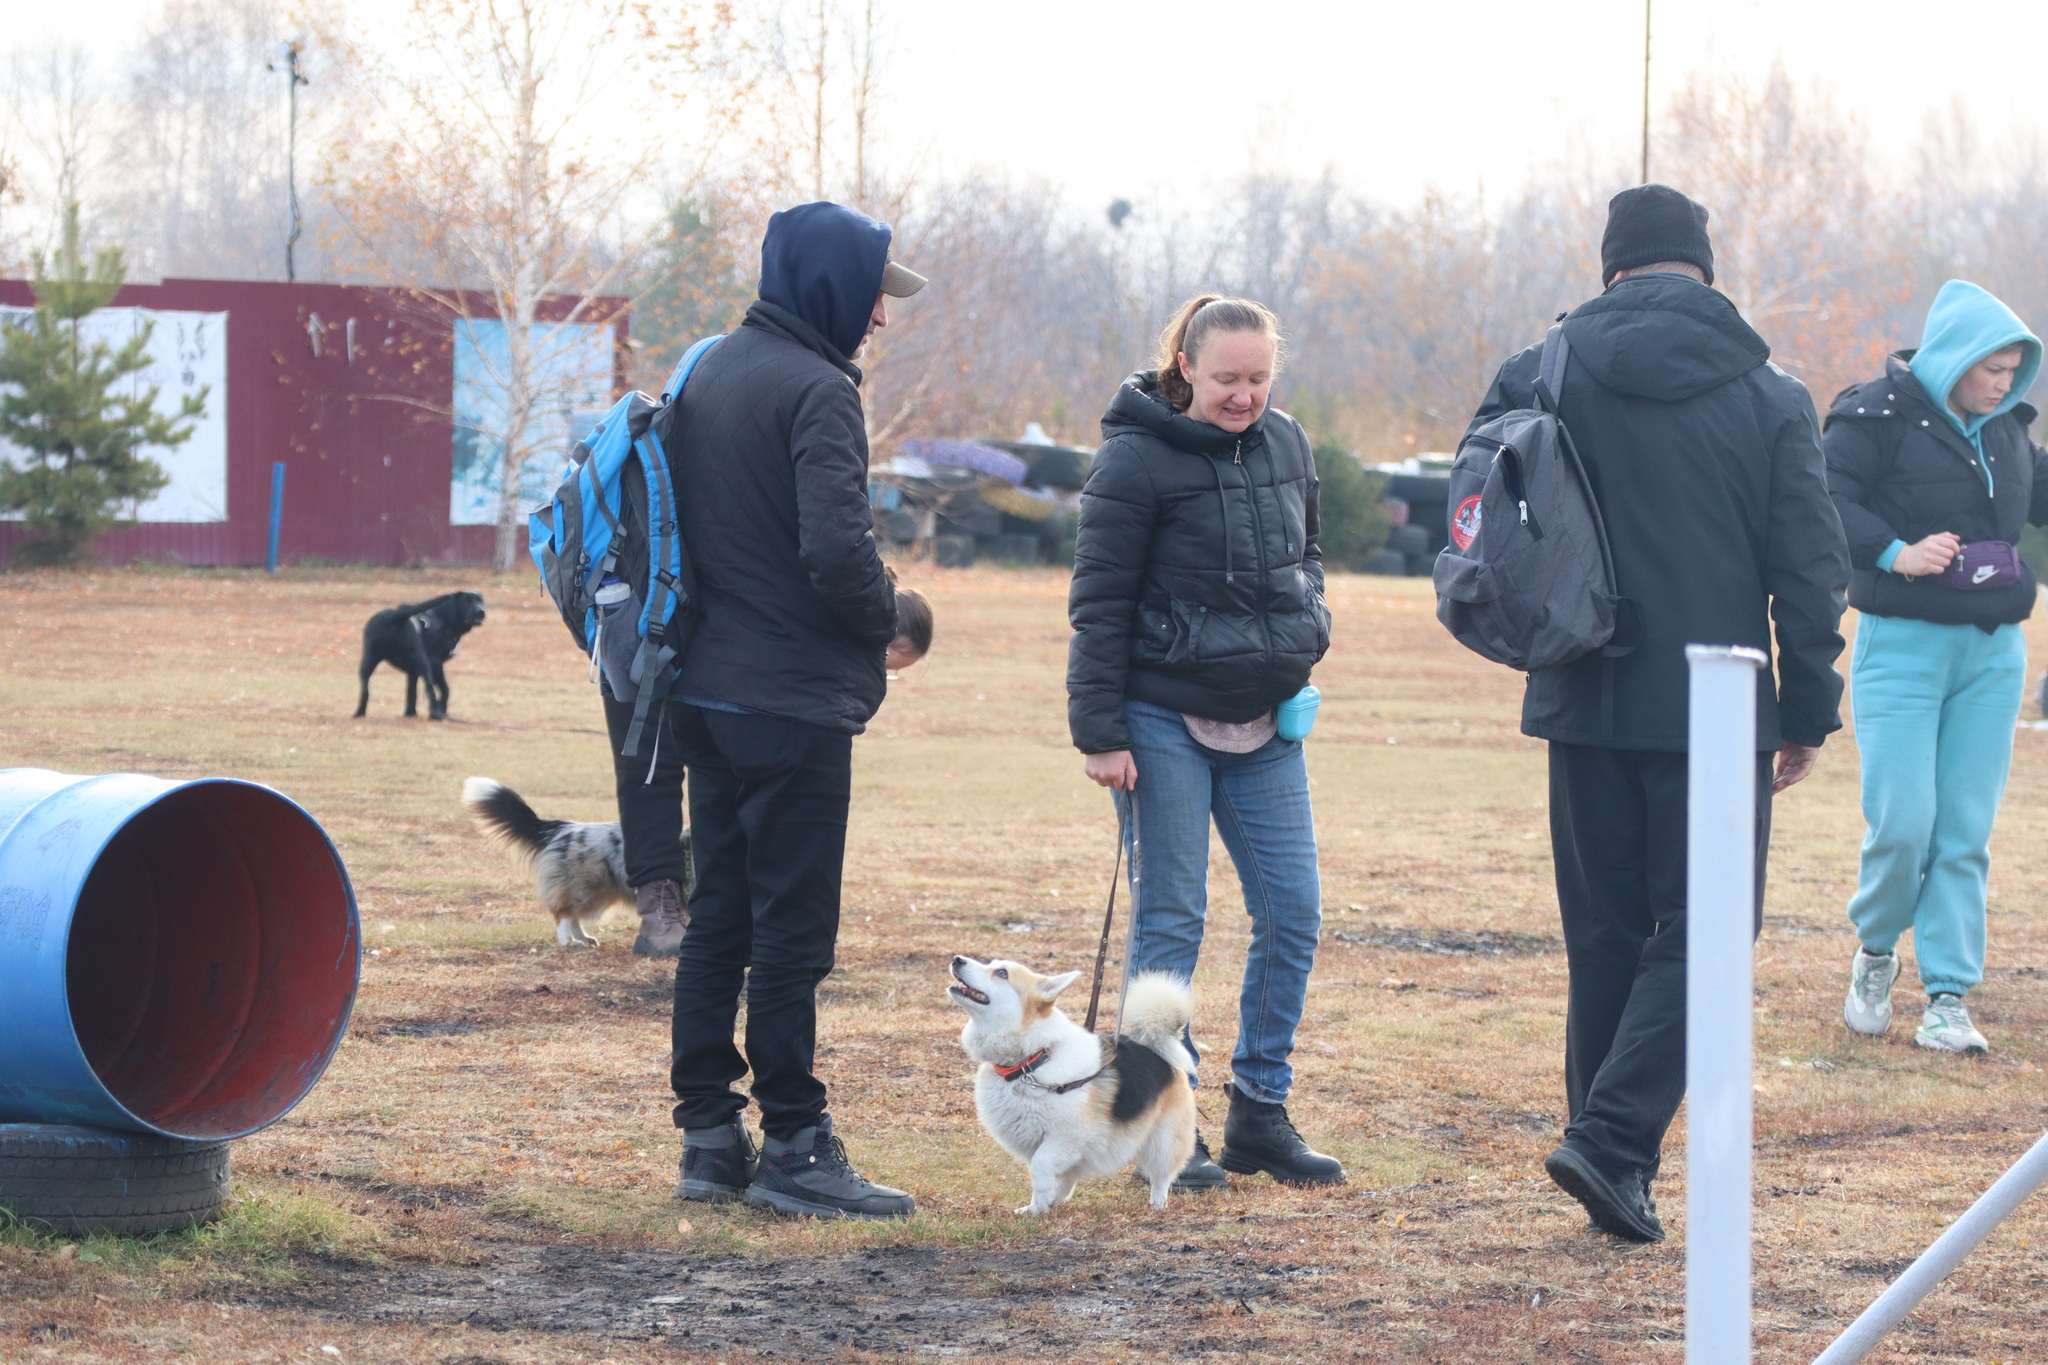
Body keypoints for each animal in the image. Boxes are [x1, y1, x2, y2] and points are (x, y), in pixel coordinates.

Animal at [356, 589, 487, 720]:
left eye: (480, 601)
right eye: (466, 601)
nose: (481, 611)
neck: (443, 619)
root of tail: (393, 617)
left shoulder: (412, 671)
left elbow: (411, 691)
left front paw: (410, 713)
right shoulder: (435, 663)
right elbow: (445, 689)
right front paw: (442, 711)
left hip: (369, 660)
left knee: (365, 689)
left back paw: (359, 713)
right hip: (423, 663)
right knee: (430, 689)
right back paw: (436, 715)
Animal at [946, 957, 1196, 1211]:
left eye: (1002, 973)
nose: (957, 959)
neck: (1033, 1061)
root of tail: (1156, 1047)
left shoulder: (1065, 1138)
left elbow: (1040, 1166)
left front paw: (1041, 1203)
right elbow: (1041, 1174)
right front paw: (1035, 1208)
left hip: (1163, 1140)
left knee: (1161, 1176)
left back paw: (1158, 1204)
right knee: (1069, 1177)